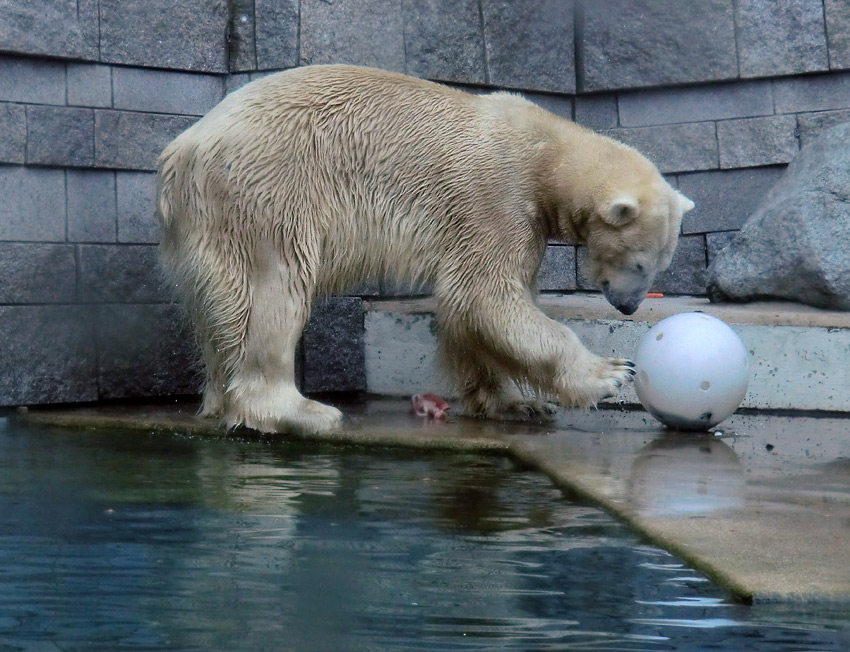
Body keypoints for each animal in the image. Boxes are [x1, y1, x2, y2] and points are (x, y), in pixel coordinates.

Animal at [156, 63, 692, 436]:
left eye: (660, 266)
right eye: (639, 262)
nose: (629, 306)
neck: (547, 153)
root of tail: (181, 153)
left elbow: (471, 312)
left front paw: (516, 403)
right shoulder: (498, 198)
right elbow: (486, 295)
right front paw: (611, 373)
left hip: (207, 226)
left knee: (220, 310)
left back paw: (221, 402)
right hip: (267, 191)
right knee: (273, 290)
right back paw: (300, 410)